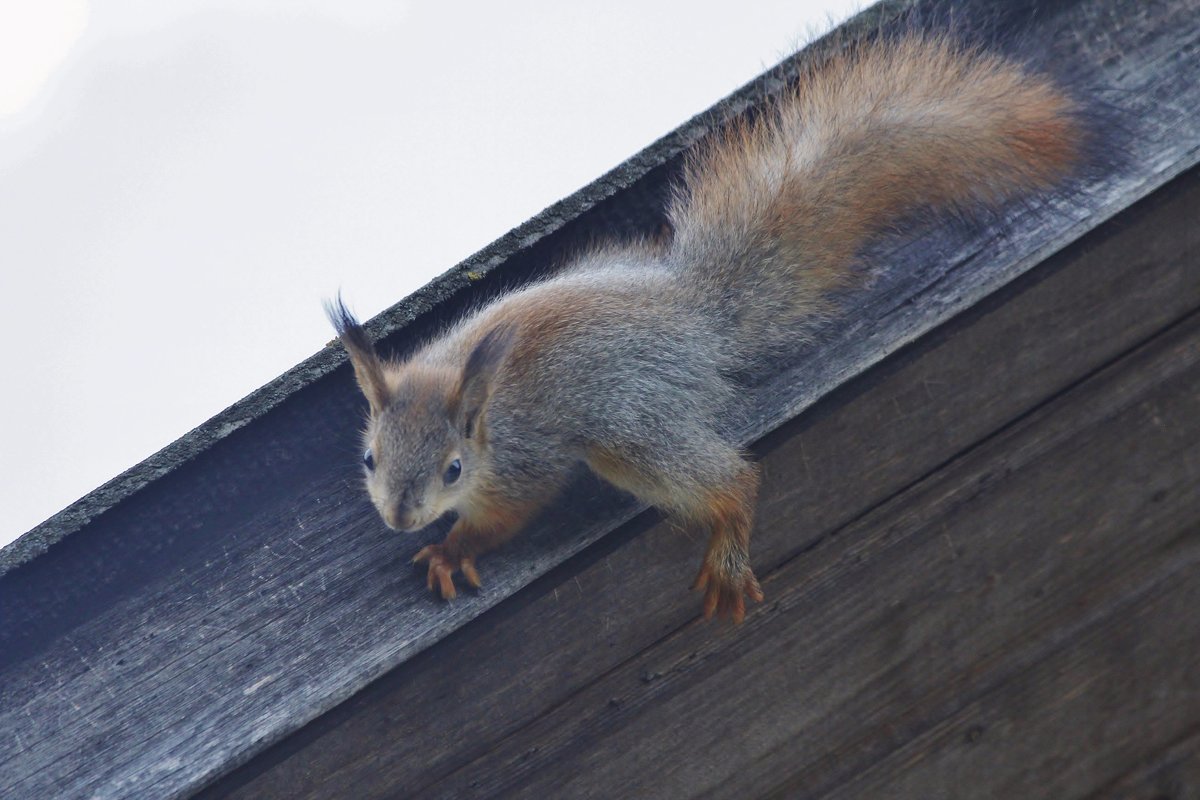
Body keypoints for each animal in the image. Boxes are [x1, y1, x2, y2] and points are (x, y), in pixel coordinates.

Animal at [328, 31, 1089, 623]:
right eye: (368, 458)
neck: (469, 392)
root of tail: (693, 313)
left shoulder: (521, 465)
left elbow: (507, 516)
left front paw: (453, 549)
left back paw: (728, 538)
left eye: (454, 468)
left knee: (731, 478)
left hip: (630, 426)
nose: (399, 516)